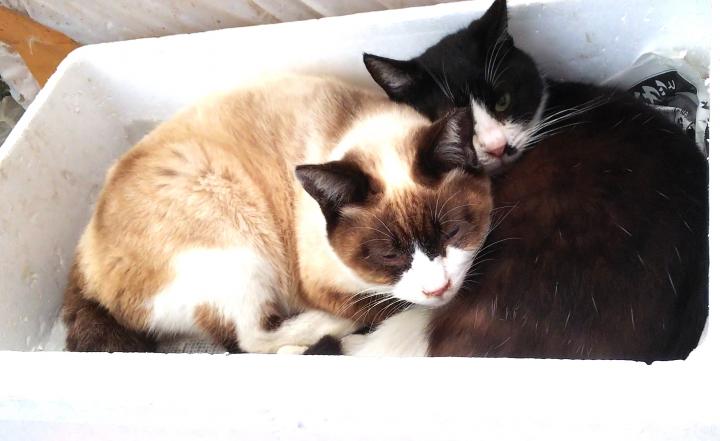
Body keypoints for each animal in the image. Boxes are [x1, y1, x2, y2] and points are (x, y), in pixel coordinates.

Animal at [61, 74, 493, 353]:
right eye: (389, 255)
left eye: (452, 232)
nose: (437, 289)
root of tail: (83, 258)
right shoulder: (320, 285)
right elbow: (380, 305)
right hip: (236, 242)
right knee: (250, 340)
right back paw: (332, 331)